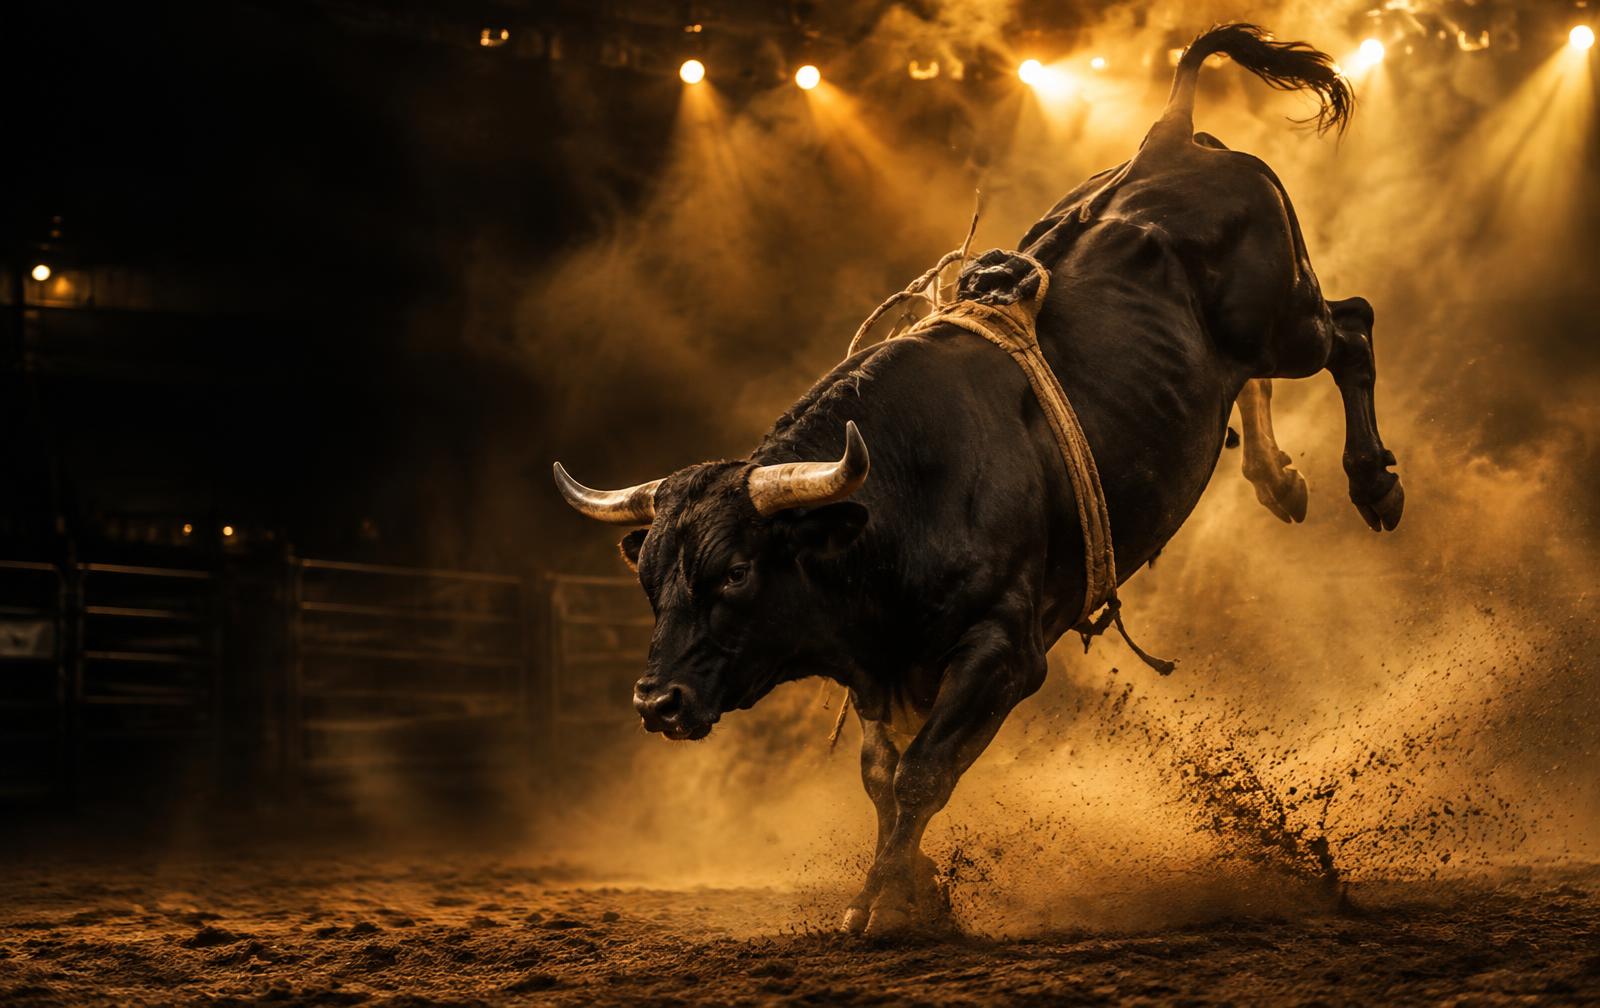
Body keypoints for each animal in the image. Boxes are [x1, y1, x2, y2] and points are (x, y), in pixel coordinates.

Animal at [553, 23, 1403, 934]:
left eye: (738, 572)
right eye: (648, 579)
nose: (657, 704)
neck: (899, 495)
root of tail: (1167, 141)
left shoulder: (1004, 650)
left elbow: (922, 774)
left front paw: (883, 902)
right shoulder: (877, 667)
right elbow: (882, 779)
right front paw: (914, 889)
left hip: (1287, 317)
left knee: (1353, 328)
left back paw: (1373, 484)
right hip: (1246, 346)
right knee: (1261, 377)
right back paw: (1278, 480)